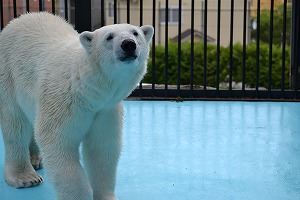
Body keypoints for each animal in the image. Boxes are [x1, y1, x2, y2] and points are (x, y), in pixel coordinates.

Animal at [0, 12, 154, 200]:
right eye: (109, 37)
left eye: (135, 33)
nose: (128, 44)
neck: (85, 90)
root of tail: (20, 19)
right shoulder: (62, 104)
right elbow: (58, 143)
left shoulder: (104, 110)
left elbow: (102, 149)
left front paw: (105, 196)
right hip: (8, 75)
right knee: (15, 124)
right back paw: (26, 177)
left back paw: (36, 159)